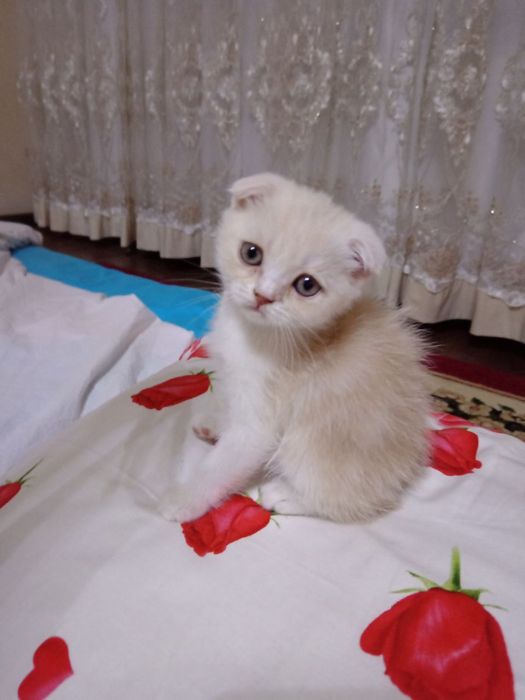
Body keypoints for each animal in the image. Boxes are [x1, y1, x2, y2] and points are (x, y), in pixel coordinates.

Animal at [160, 173, 430, 524]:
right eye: (251, 253)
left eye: (307, 285)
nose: (263, 296)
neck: (254, 333)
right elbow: (232, 415)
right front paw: (218, 423)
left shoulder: (262, 415)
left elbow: (226, 462)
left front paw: (184, 498)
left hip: (316, 445)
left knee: (347, 500)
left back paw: (286, 495)